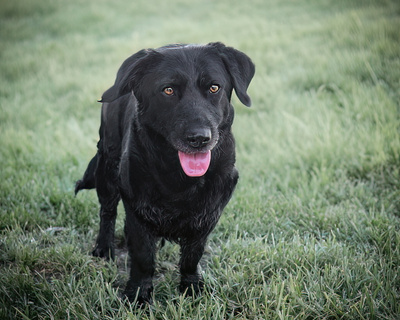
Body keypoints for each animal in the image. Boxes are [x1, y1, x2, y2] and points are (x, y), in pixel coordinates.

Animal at [75, 42, 255, 304]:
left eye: (214, 87)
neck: (179, 177)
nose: (199, 138)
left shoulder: (208, 215)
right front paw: (138, 295)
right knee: (107, 212)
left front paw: (192, 289)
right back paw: (103, 249)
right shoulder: (137, 210)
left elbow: (192, 256)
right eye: (168, 90)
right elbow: (142, 257)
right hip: (107, 165)